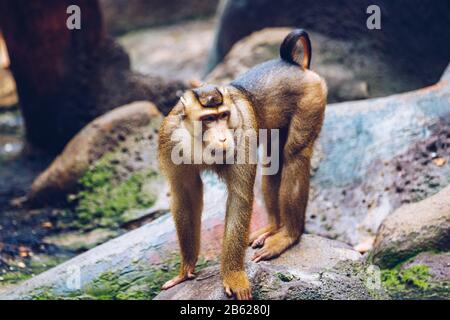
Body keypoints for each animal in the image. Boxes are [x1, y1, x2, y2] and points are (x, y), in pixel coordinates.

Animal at [158, 29, 326, 300]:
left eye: (224, 116)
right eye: (208, 119)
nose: (223, 138)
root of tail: (291, 64)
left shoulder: (243, 133)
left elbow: (240, 199)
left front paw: (234, 276)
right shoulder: (168, 137)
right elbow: (186, 197)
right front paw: (186, 269)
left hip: (312, 97)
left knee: (294, 155)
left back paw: (288, 234)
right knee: (274, 160)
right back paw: (273, 226)